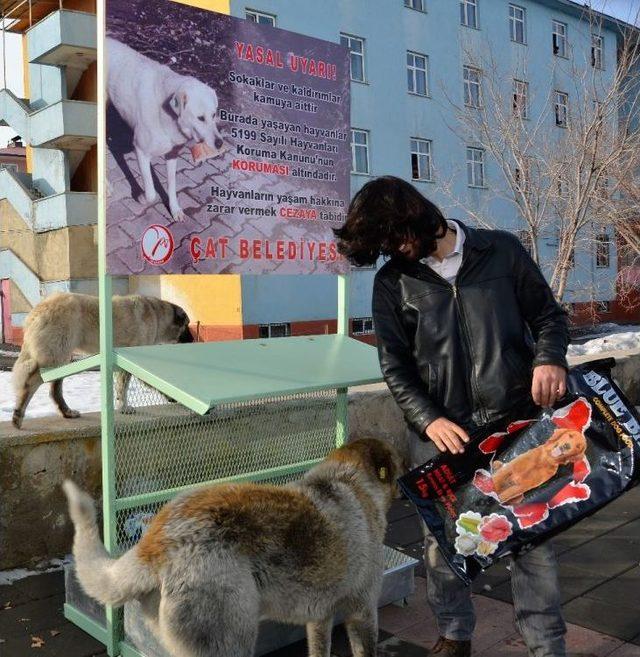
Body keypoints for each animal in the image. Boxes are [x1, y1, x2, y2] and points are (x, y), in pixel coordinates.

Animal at [106, 36, 224, 220]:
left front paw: (175, 209)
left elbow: (172, 185)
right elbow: (151, 194)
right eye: (200, 118)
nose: (220, 143)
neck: (167, 113)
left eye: (213, 115)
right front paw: (141, 196)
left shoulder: (172, 155)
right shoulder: (140, 151)